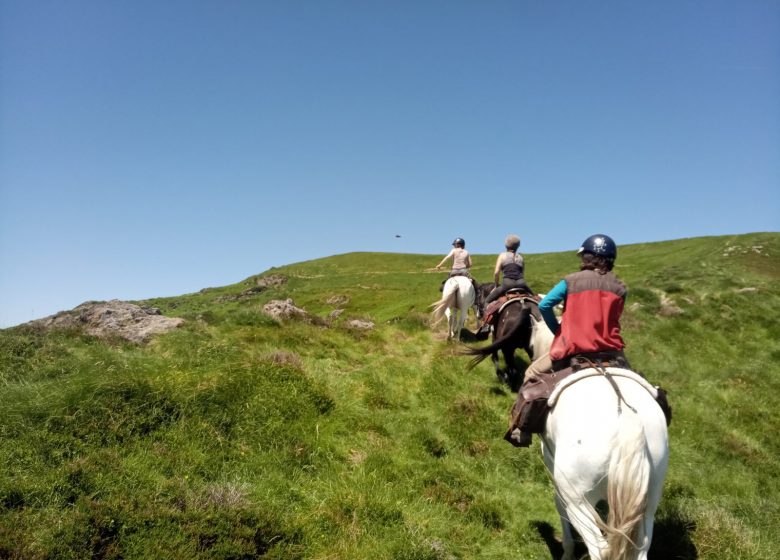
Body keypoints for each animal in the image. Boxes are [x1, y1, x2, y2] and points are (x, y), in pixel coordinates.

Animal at [544, 368, 672, 560]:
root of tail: (627, 417)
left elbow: (559, 505)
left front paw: (567, 552)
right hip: (648, 505)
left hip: (578, 503)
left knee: (599, 549)